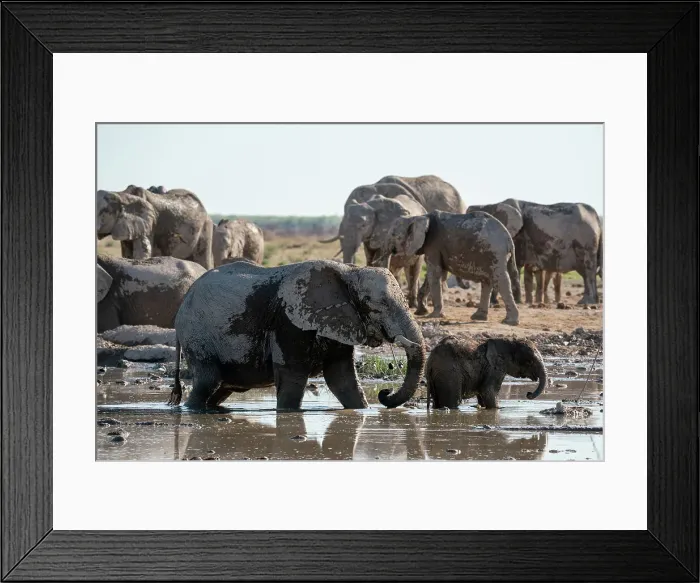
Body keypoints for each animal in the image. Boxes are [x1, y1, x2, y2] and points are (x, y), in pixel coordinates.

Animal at [169, 259, 426, 411]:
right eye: (376, 305)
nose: (385, 393)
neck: (349, 271)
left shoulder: (339, 320)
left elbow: (342, 378)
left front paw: (362, 411)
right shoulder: (288, 320)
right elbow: (293, 375)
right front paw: (287, 415)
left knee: (220, 388)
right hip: (197, 335)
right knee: (207, 382)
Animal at [380, 210, 521, 325]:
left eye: (393, 234)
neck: (418, 217)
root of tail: (509, 240)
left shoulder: (434, 244)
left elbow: (434, 273)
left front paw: (433, 316)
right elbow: (437, 274)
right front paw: (421, 312)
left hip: (495, 252)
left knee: (500, 279)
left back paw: (509, 322)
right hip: (489, 254)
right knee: (487, 281)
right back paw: (478, 317)